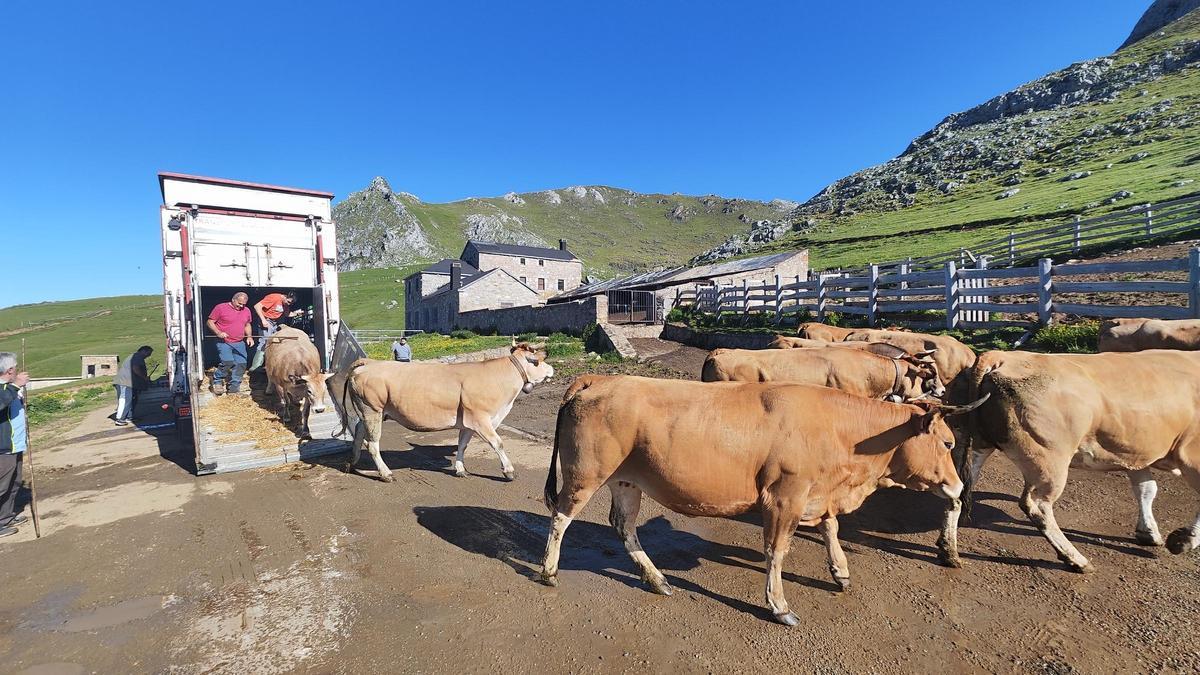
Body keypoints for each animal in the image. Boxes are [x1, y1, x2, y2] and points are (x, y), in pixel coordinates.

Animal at [340, 341, 554, 478]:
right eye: (537, 361)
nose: (552, 370)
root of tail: (369, 362)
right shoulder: (480, 419)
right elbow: (498, 443)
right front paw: (508, 471)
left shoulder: (468, 422)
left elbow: (462, 445)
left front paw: (460, 469)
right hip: (372, 410)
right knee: (372, 444)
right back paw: (385, 473)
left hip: (370, 412)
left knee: (359, 432)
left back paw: (352, 462)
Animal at [542, 372, 984, 619]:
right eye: (947, 443)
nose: (959, 487)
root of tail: (600, 379)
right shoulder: (784, 496)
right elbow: (777, 550)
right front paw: (779, 605)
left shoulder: (817, 493)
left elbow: (830, 528)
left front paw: (840, 571)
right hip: (586, 474)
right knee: (561, 517)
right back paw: (548, 572)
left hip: (627, 481)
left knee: (623, 527)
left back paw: (656, 579)